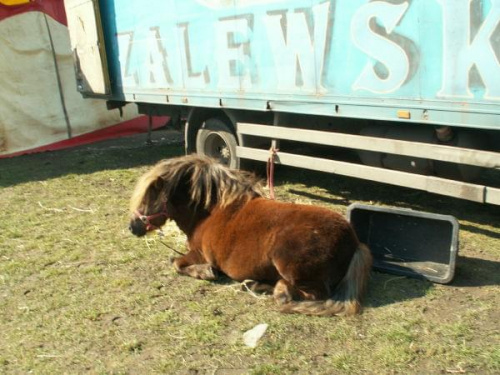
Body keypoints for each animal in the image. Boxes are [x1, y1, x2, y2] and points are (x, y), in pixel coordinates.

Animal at [129, 154, 372, 316]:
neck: (208, 211)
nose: (132, 227)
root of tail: (353, 241)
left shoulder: (198, 254)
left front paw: (205, 272)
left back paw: (277, 292)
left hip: (289, 265)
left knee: (309, 293)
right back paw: (256, 285)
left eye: (148, 199)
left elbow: (177, 263)